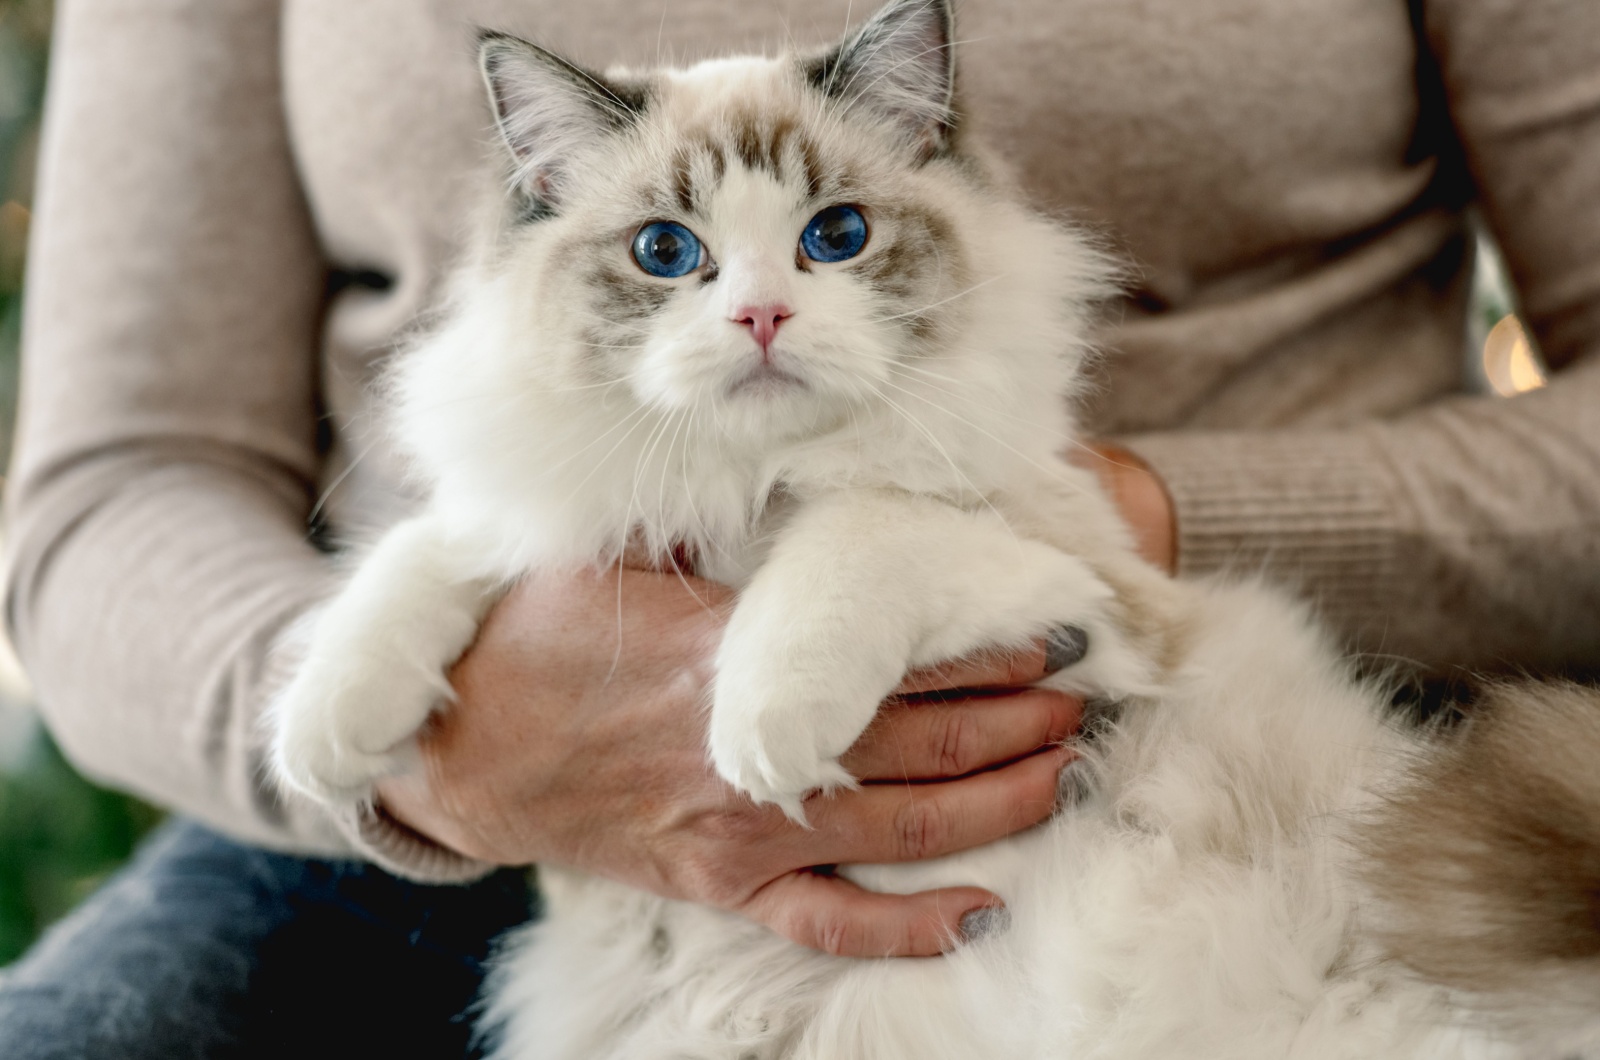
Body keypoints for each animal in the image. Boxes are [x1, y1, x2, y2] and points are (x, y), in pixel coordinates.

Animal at [268, 2, 1600, 1060]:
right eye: (665, 252)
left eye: (835, 237)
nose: (759, 316)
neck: (748, 488)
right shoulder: (590, 503)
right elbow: (438, 548)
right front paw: (328, 728)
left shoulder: (1097, 605)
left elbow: (864, 525)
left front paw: (763, 726)